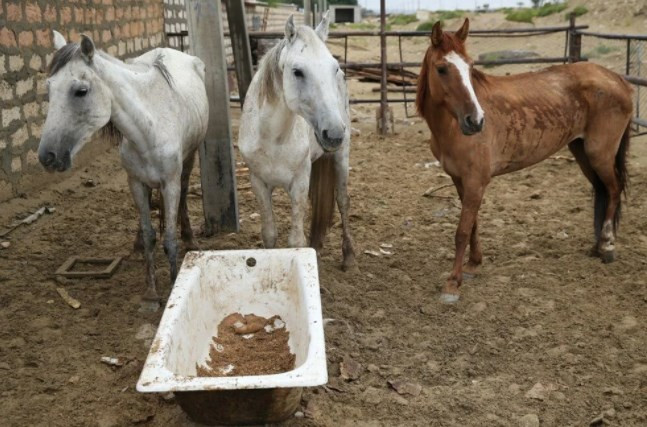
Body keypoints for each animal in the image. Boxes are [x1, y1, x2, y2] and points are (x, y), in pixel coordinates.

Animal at [38, 31, 209, 310]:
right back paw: (137, 245)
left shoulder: (170, 183)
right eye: (49, 88)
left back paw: (190, 238)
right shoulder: (135, 183)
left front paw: (174, 283)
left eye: (81, 91)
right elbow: (151, 236)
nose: (47, 157)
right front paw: (150, 294)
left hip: (189, 158)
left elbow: (169, 238)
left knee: (184, 195)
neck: (149, 127)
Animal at [240, 15, 356, 272]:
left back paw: (348, 256)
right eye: (297, 72)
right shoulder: (258, 183)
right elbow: (269, 234)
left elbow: (295, 241)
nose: (334, 133)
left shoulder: (299, 182)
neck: (273, 139)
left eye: (334, 68)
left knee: (343, 201)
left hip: (342, 156)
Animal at [416, 18, 632, 302]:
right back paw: (597, 247)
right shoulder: (460, 180)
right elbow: (472, 223)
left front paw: (453, 283)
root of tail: (617, 79)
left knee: (614, 189)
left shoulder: (476, 181)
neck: (451, 128)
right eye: (441, 68)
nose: (475, 121)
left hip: (601, 153)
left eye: (470, 66)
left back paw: (607, 246)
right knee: (602, 190)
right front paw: (473, 264)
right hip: (582, 151)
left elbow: (462, 230)